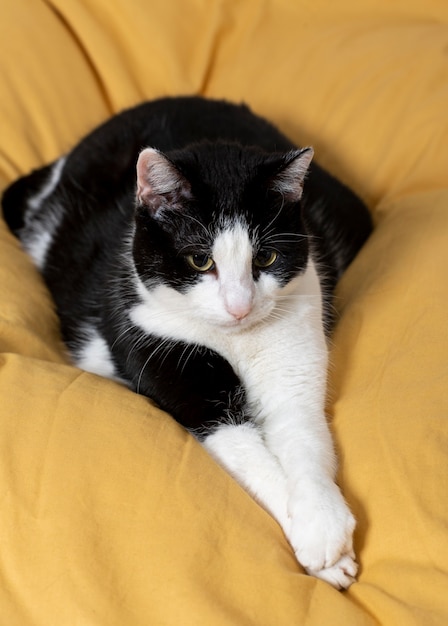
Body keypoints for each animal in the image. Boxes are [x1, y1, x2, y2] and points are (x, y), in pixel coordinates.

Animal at [2, 95, 372, 588]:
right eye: (200, 261)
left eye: (266, 257)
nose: (239, 306)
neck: (238, 340)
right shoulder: (156, 343)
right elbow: (252, 457)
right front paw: (329, 558)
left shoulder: (298, 335)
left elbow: (304, 437)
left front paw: (323, 524)